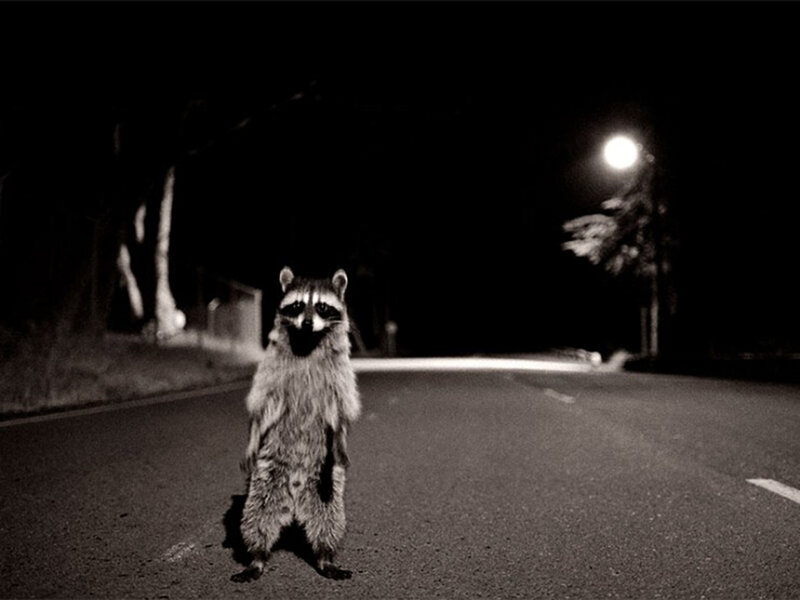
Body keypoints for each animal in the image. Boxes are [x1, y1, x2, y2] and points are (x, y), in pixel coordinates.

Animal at [232, 266, 361, 582]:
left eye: (323, 306)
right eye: (298, 305)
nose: (307, 322)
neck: (307, 340)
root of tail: (295, 492)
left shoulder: (340, 373)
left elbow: (341, 407)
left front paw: (341, 436)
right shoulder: (271, 368)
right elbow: (262, 402)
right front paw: (252, 436)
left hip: (326, 480)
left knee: (329, 519)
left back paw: (325, 554)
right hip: (267, 475)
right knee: (257, 516)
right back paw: (257, 556)